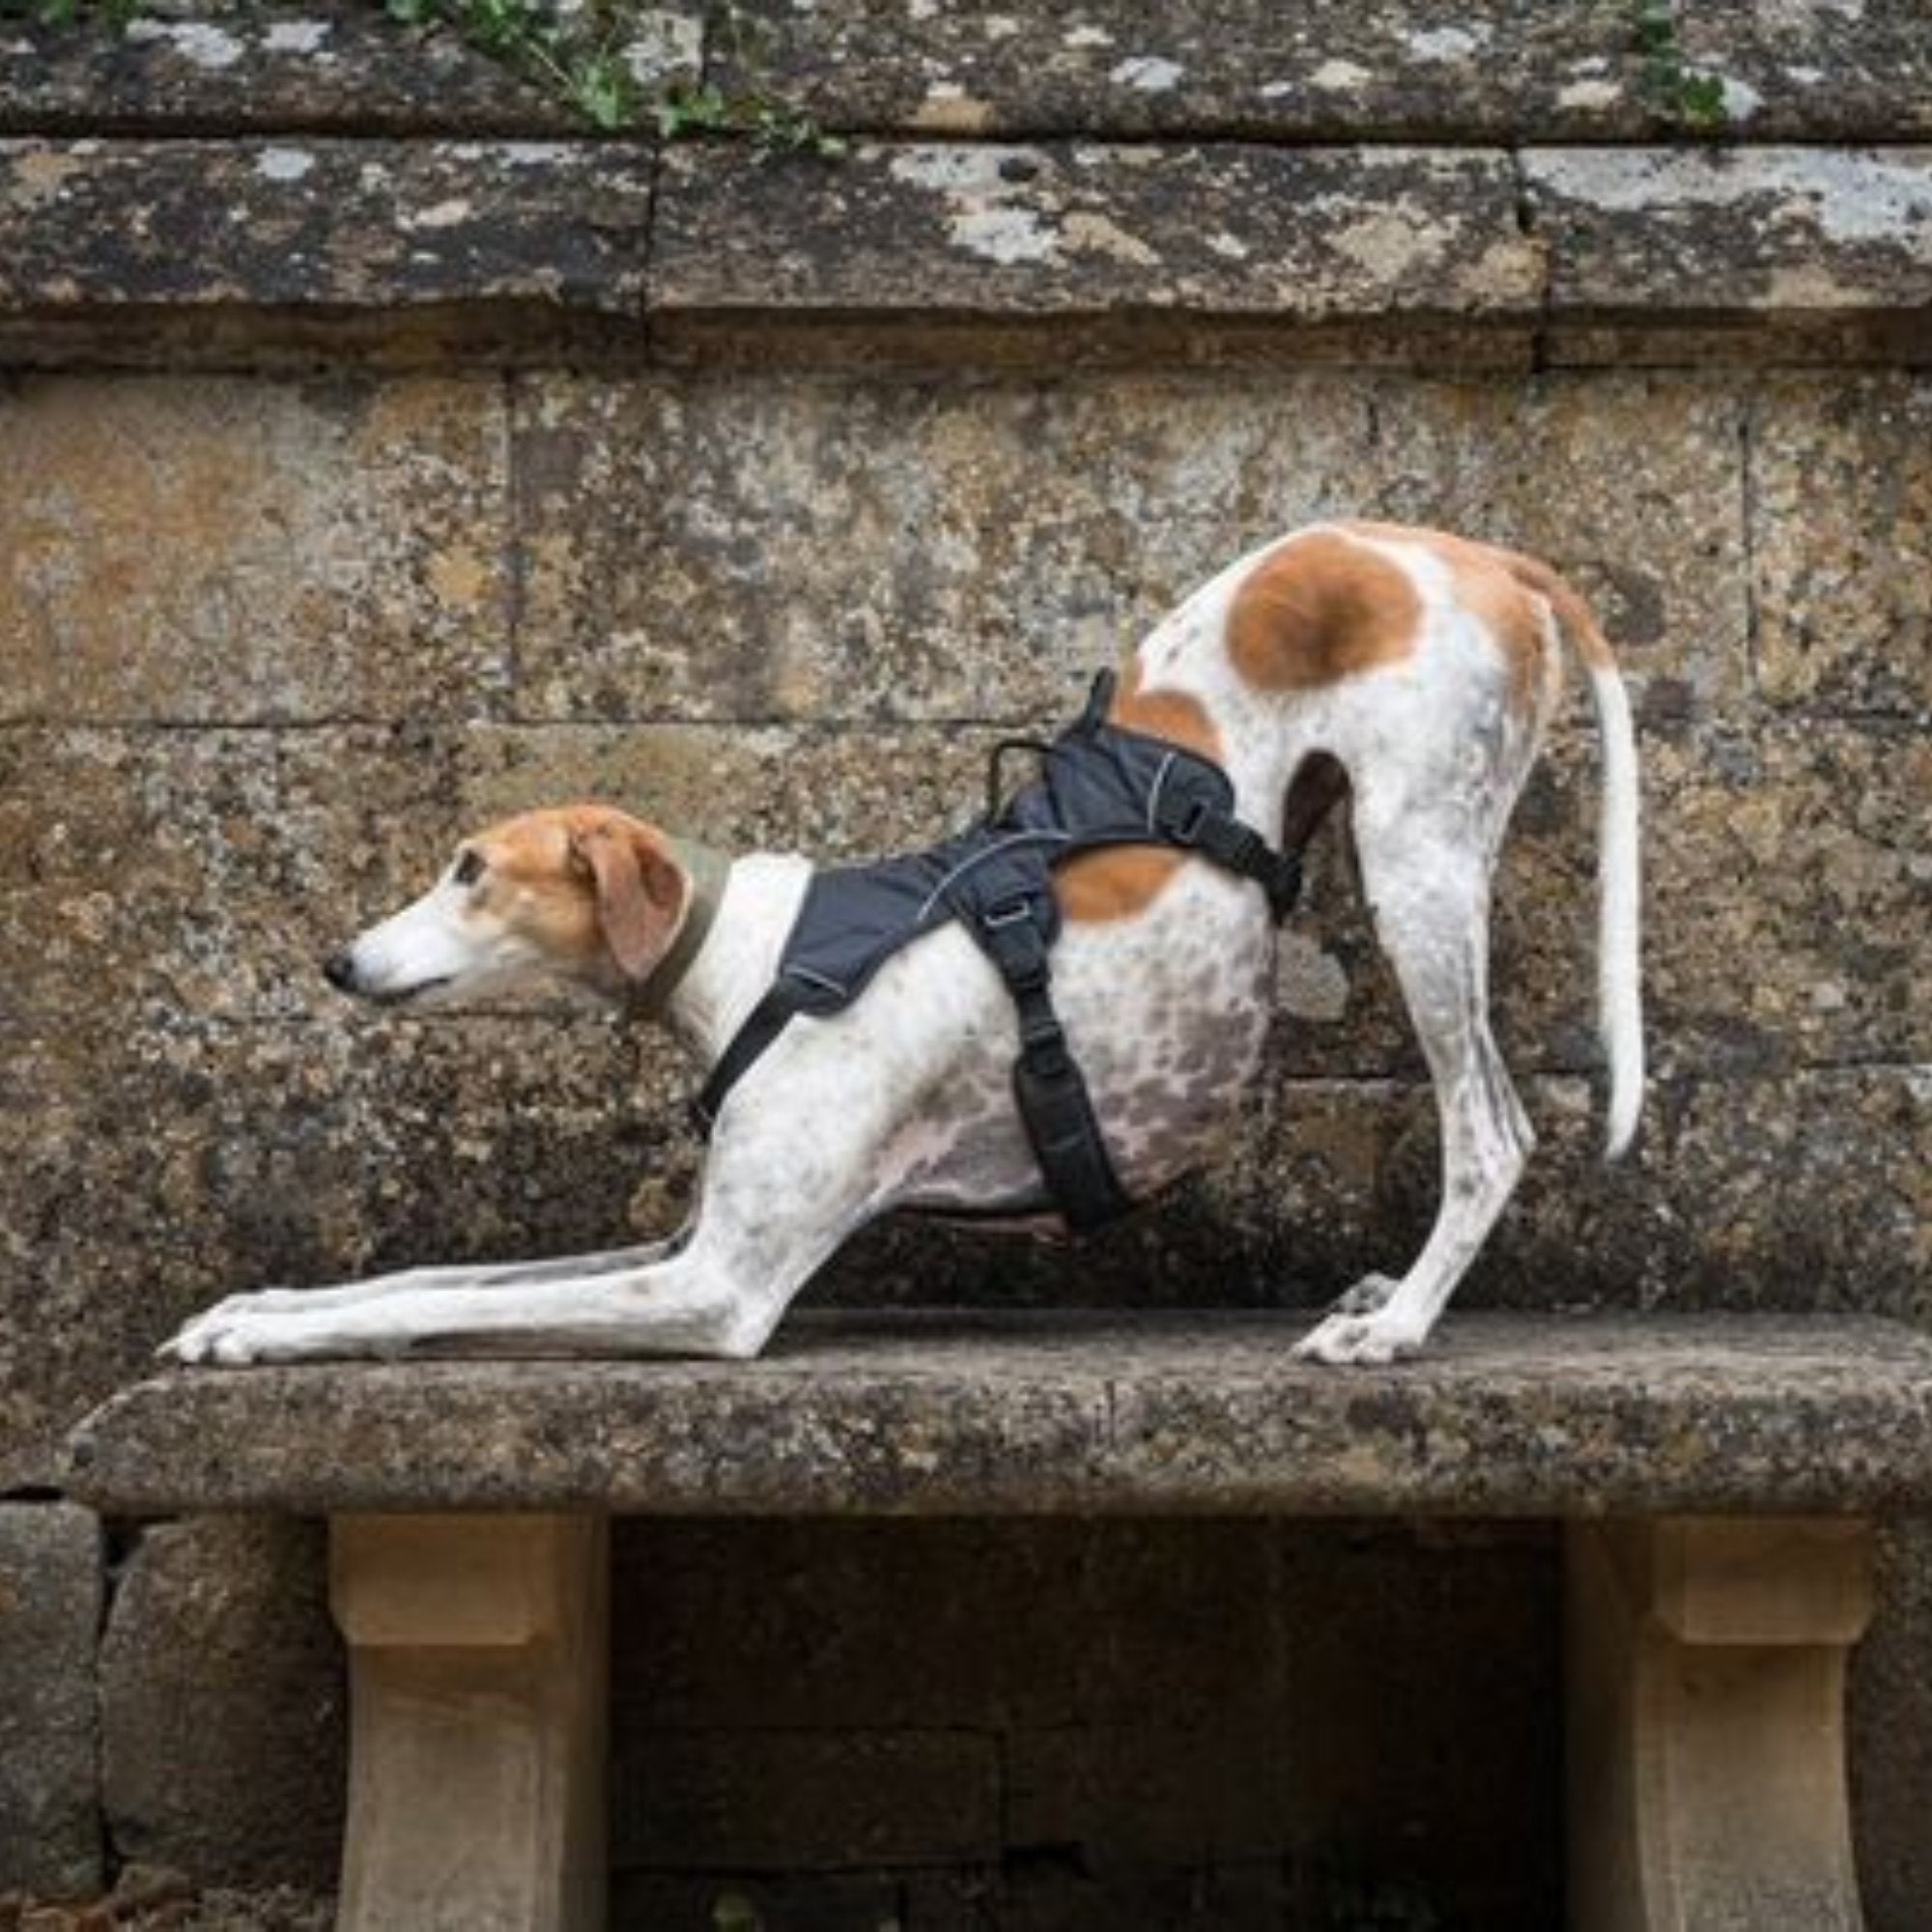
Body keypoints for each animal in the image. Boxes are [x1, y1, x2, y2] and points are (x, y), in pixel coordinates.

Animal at [170, 522, 1646, 1368]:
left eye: (472, 871)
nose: (338, 963)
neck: (743, 953)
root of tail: (1470, 549)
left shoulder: (718, 1286)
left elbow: (440, 1305)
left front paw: (257, 1342)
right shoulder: (682, 1240)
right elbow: (430, 1272)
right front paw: (245, 1311)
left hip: (1419, 865)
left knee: (1492, 1128)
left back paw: (1395, 1327)